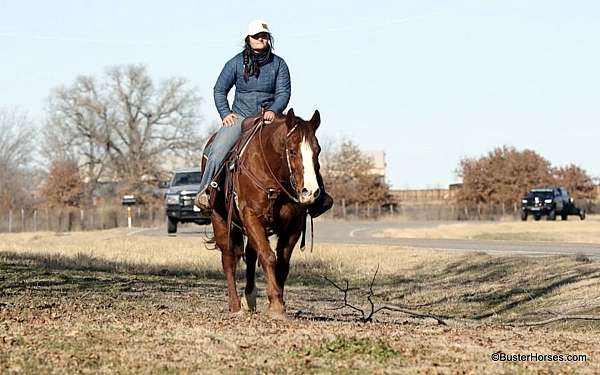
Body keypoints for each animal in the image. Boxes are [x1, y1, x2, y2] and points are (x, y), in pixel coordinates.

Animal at [203, 108, 324, 318]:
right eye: (292, 150)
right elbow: (268, 256)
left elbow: (282, 262)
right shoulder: (251, 215)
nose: (310, 192)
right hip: (219, 219)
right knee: (228, 258)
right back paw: (235, 305)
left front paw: (279, 302)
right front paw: (275, 305)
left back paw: (250, 298)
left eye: (317, 150)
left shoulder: (293, 225)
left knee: (251, 254)